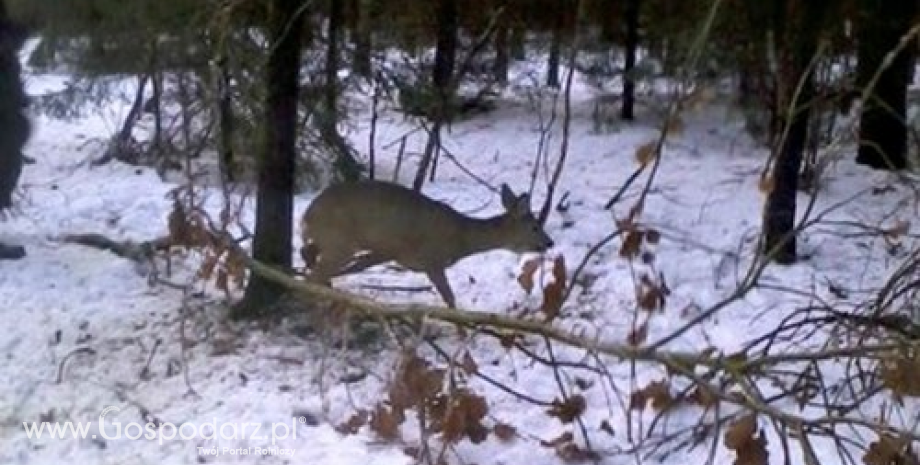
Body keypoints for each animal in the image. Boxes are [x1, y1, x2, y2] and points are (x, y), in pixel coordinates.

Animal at [300, 179, 552, 306]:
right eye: (535, 227)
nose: (549, 242)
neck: (461, 237)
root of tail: (307, 214)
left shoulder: (390, 252)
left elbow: (356, 267)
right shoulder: (432, 259)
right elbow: (449, 297)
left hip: (334, 240)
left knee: (308, 253)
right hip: (340, 241)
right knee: (315, 272)